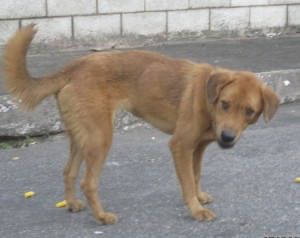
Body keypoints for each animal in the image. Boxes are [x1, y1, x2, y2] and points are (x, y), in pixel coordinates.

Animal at [3, 25, 280, 224]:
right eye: (225, 104)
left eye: (249, 111)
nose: (227, 137)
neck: (206, 98)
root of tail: (72, 67)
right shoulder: (180, 146)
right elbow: (188, 181)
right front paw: (195, 209)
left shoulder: (197, 148)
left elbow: (196, 175)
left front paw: (200, 198)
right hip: (100, 138)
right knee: (87, 182)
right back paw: (101, 217)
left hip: (82, 137)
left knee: (68, 172)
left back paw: (71, 204)